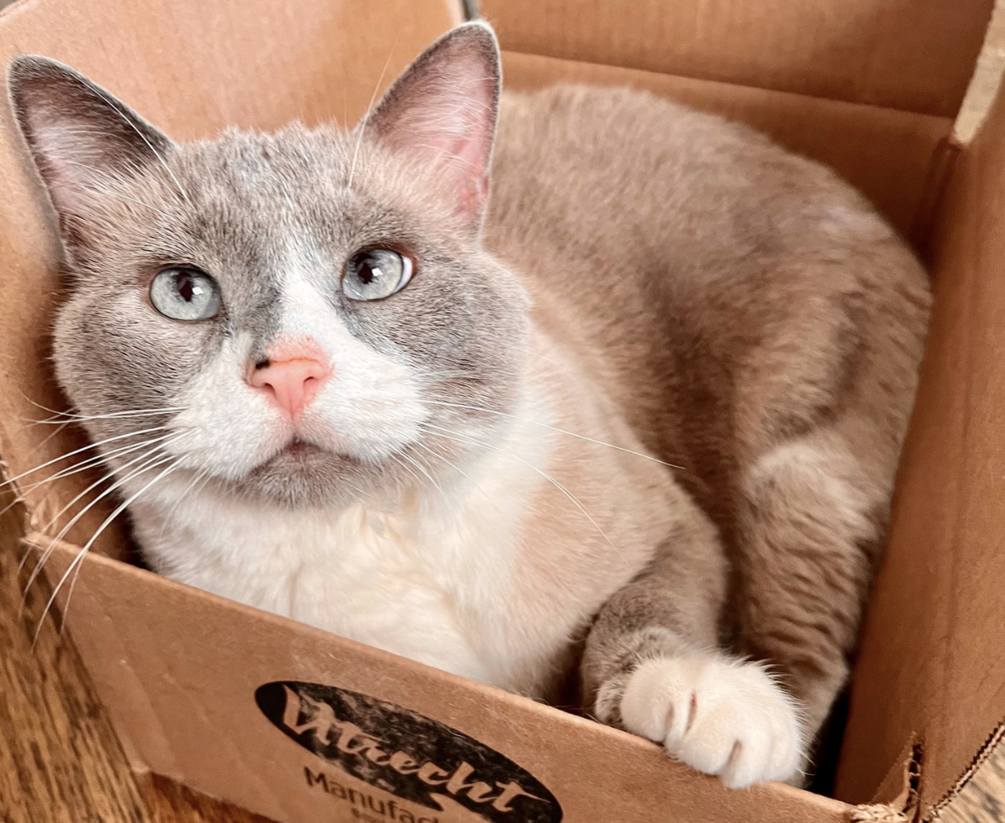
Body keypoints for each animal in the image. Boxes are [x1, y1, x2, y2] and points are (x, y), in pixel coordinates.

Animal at [8, 21, 930, 789]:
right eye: (185, 292)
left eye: (374, 271)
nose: (291, 372)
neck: (365, 531)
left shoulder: (677, 527)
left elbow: (641, 610)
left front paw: (703, 698)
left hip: (790, 484)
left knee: (807, 671)